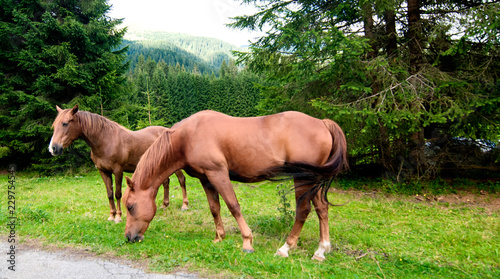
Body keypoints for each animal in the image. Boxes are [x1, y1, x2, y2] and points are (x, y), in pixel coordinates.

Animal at [48, 104, 189, 223]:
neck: (105, 140)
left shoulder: (118, 170)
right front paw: (111, 215)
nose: (53, 148)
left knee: (181, 179)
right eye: (54, 126)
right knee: (166, 182)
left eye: (65, 123)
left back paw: (184, 205)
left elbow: (117, 193)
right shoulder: (103, 171)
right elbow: (109, 194)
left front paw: (119, 217)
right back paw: (165, 205)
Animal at [123, 110, 348, 262]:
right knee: (321, 209)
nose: (129, 237)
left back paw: (286, 248)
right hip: (314, 182)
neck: (187, 137)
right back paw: (321, 250)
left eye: (130, 206)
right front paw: (219, 237)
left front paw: (247, 242)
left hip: (303, 180)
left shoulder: (218, 173)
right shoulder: (206, 179)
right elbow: (215, 208)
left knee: (303, 210)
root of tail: (323, 123)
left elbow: (233, 206)